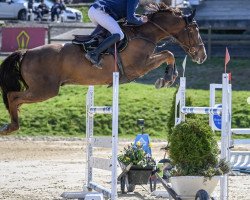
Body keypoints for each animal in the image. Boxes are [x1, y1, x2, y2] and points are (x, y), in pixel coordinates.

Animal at [0, 3, 207, 135]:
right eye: (194, 30)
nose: (202, 55)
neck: (145, 33)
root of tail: (26, 52)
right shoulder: (138, 67)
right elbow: (168, 54)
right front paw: (167, 78)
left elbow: (167, 53)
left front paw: (168, 77)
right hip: (44, 90)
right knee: (13, 96)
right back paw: (11, 126)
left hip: (40, 90)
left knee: (15, 98)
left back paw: (10, 124)